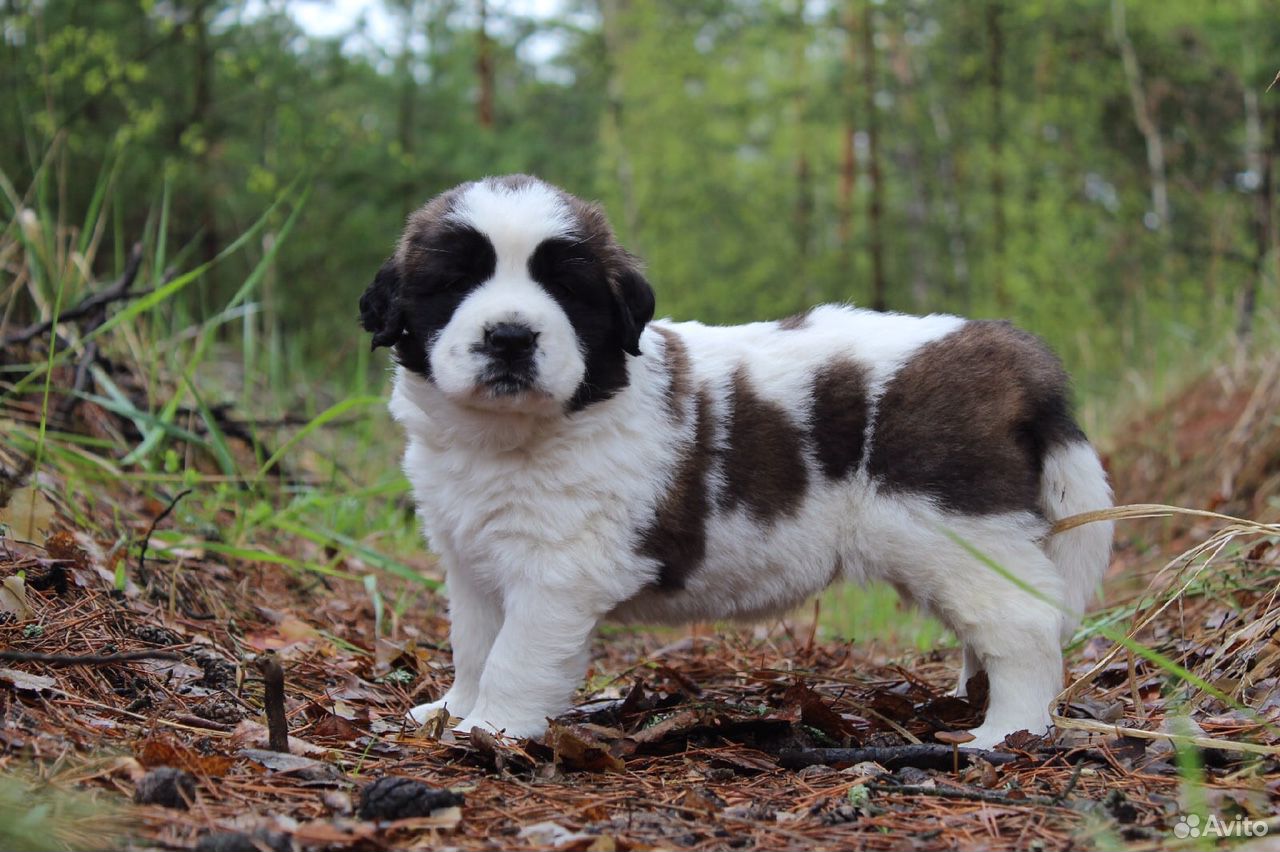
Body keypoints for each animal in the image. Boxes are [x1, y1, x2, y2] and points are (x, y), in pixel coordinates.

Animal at [358, 175, 1111, 747]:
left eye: (567, 289)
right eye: (454, 282)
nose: (511, 336)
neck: (511, 435)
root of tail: (1013, 356)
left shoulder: (559, 570)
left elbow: (514, 656)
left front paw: (489, 730)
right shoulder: (470, 558)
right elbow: (475, 643)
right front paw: (451, 711)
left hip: (955, 530)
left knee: (1024, 624)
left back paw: (1005, 732)